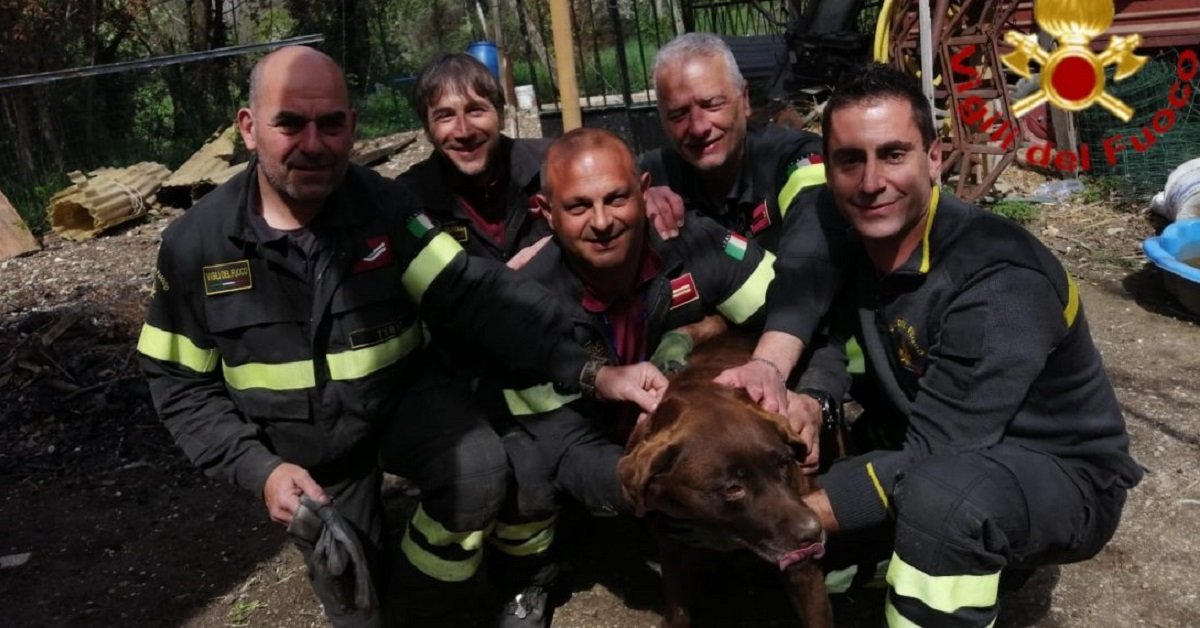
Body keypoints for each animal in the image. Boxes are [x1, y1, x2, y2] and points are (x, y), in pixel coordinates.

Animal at [614, 336, 830, 624]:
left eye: (784, 464)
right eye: (733, 489)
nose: (812, 532)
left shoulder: (803, 570)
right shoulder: (672, 551)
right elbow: (678, 611)